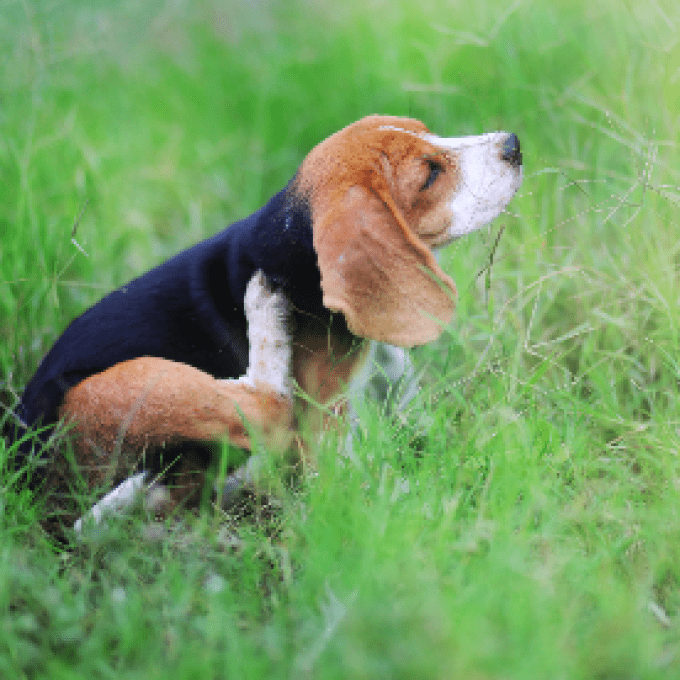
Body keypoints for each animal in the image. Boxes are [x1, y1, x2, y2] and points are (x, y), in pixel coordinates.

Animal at [9, 115, 520, 532]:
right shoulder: (322, 427)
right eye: (430, 173)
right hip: (122, 385)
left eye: (429, 132)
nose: (512, 144)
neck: (290, 242)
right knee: (270, 412)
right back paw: (264, 313)